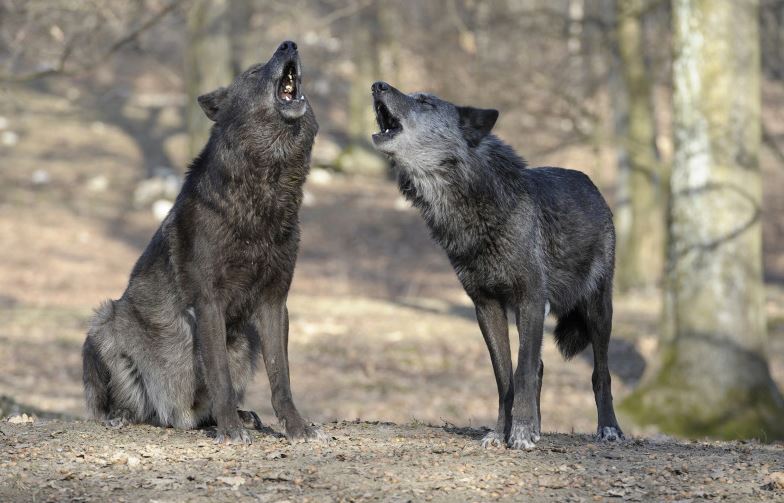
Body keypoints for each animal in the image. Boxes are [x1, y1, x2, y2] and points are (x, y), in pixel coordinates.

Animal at [81, 42, 324, 444]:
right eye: (254, 71)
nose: (289, 44)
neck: (265, 187)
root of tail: (176, 416)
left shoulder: (275, 302)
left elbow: (281, 378)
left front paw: (296, 426)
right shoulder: (209, 302)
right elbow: (219, 376)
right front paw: (229, 430)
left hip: (245, 342)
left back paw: (238, 416)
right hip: (104, 324)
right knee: (120, 406)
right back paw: (123, 414)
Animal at [370, 80, 620, 450]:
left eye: (426, 102)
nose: (377, 85)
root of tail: (592, 185)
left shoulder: (531, 299)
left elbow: (523, 370)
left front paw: (522, 432)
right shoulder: (486, 306)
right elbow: (506, 377)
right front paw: (504, 431)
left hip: (597, 310)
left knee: (599, 373)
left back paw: (609, 428)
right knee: (540, 367)